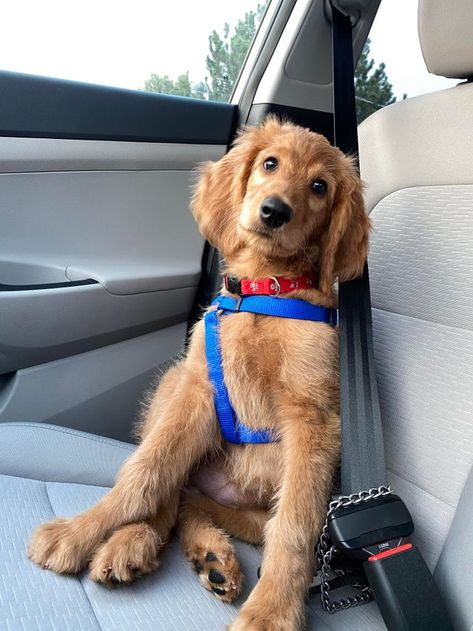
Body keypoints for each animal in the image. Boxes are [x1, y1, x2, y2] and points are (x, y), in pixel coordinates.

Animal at [28, 118, 368, 631]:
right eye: (270, 163)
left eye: (319, 187)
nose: (274, 211)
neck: (265, 290)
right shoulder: (200, 390)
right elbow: (142, 475)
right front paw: (79, 531)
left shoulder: (315, 419)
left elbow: (294, 523)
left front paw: (271, 613)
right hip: (175, 385)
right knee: (170, 491)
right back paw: (138, 543)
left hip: (248, 502)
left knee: (202, 506)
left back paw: (212, 558)